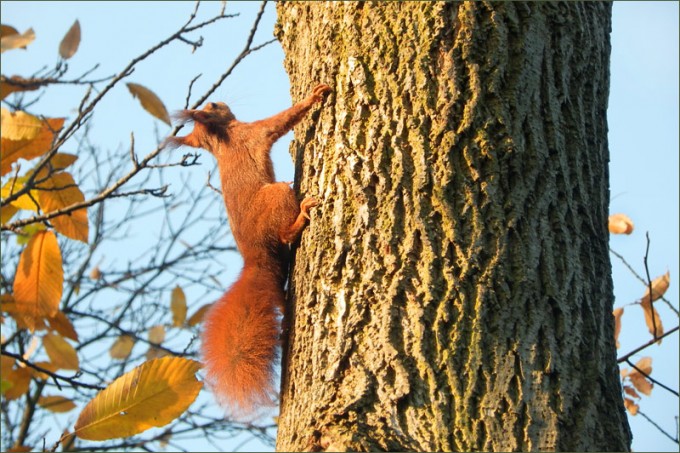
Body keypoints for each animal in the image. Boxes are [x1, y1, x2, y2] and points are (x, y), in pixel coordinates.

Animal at [166, 84, 332, 416]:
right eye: (213, 106)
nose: (220, 101)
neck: (222, 139)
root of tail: (255, 259)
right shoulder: (254, 133)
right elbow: (282, 120)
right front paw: (314, 97)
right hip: (278, 196)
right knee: (283, 232)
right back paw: (302, 215)